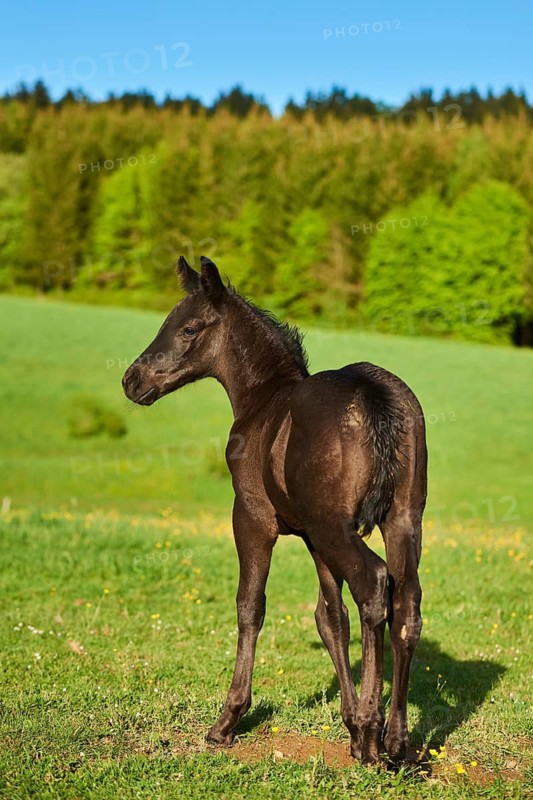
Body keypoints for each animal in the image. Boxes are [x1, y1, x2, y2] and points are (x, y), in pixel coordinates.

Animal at [122, 256, 427, 764]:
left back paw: (372, 734)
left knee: (374, 586)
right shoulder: (311, 536)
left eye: (188, 329)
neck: (262, 399)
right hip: (400, 520)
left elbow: (251, 605)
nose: (132, 380)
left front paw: (227, 720)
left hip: (337, 527)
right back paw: (396, 740)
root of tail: (372, 392)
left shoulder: (251, 517)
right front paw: (347, 724)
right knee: (405, 603)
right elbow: (330, 617)